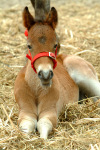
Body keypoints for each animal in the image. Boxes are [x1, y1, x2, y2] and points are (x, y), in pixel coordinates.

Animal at [14, 6, 100, 139]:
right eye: (29, 46)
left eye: (55, 45)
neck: (36, 89)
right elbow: (27, 124)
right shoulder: (25, 110)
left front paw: (41, 140)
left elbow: (44, 123)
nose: (45, 74)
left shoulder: (50, 110)